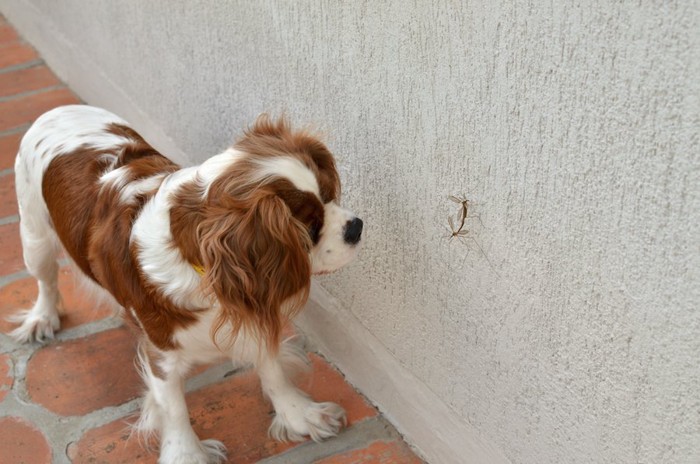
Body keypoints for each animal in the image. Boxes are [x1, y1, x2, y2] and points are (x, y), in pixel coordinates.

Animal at [10, 106, 364, 464]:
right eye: (310, 227)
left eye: (329, 196)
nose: (356, 227)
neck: (198, 264)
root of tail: (58, 110)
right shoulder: (161, 349)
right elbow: (173, 406)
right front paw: (186, 452)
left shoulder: (253, 301)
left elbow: (272, 368)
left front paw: (298, 414)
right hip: (34, 237)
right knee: (46, 280)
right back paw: (42, 318)